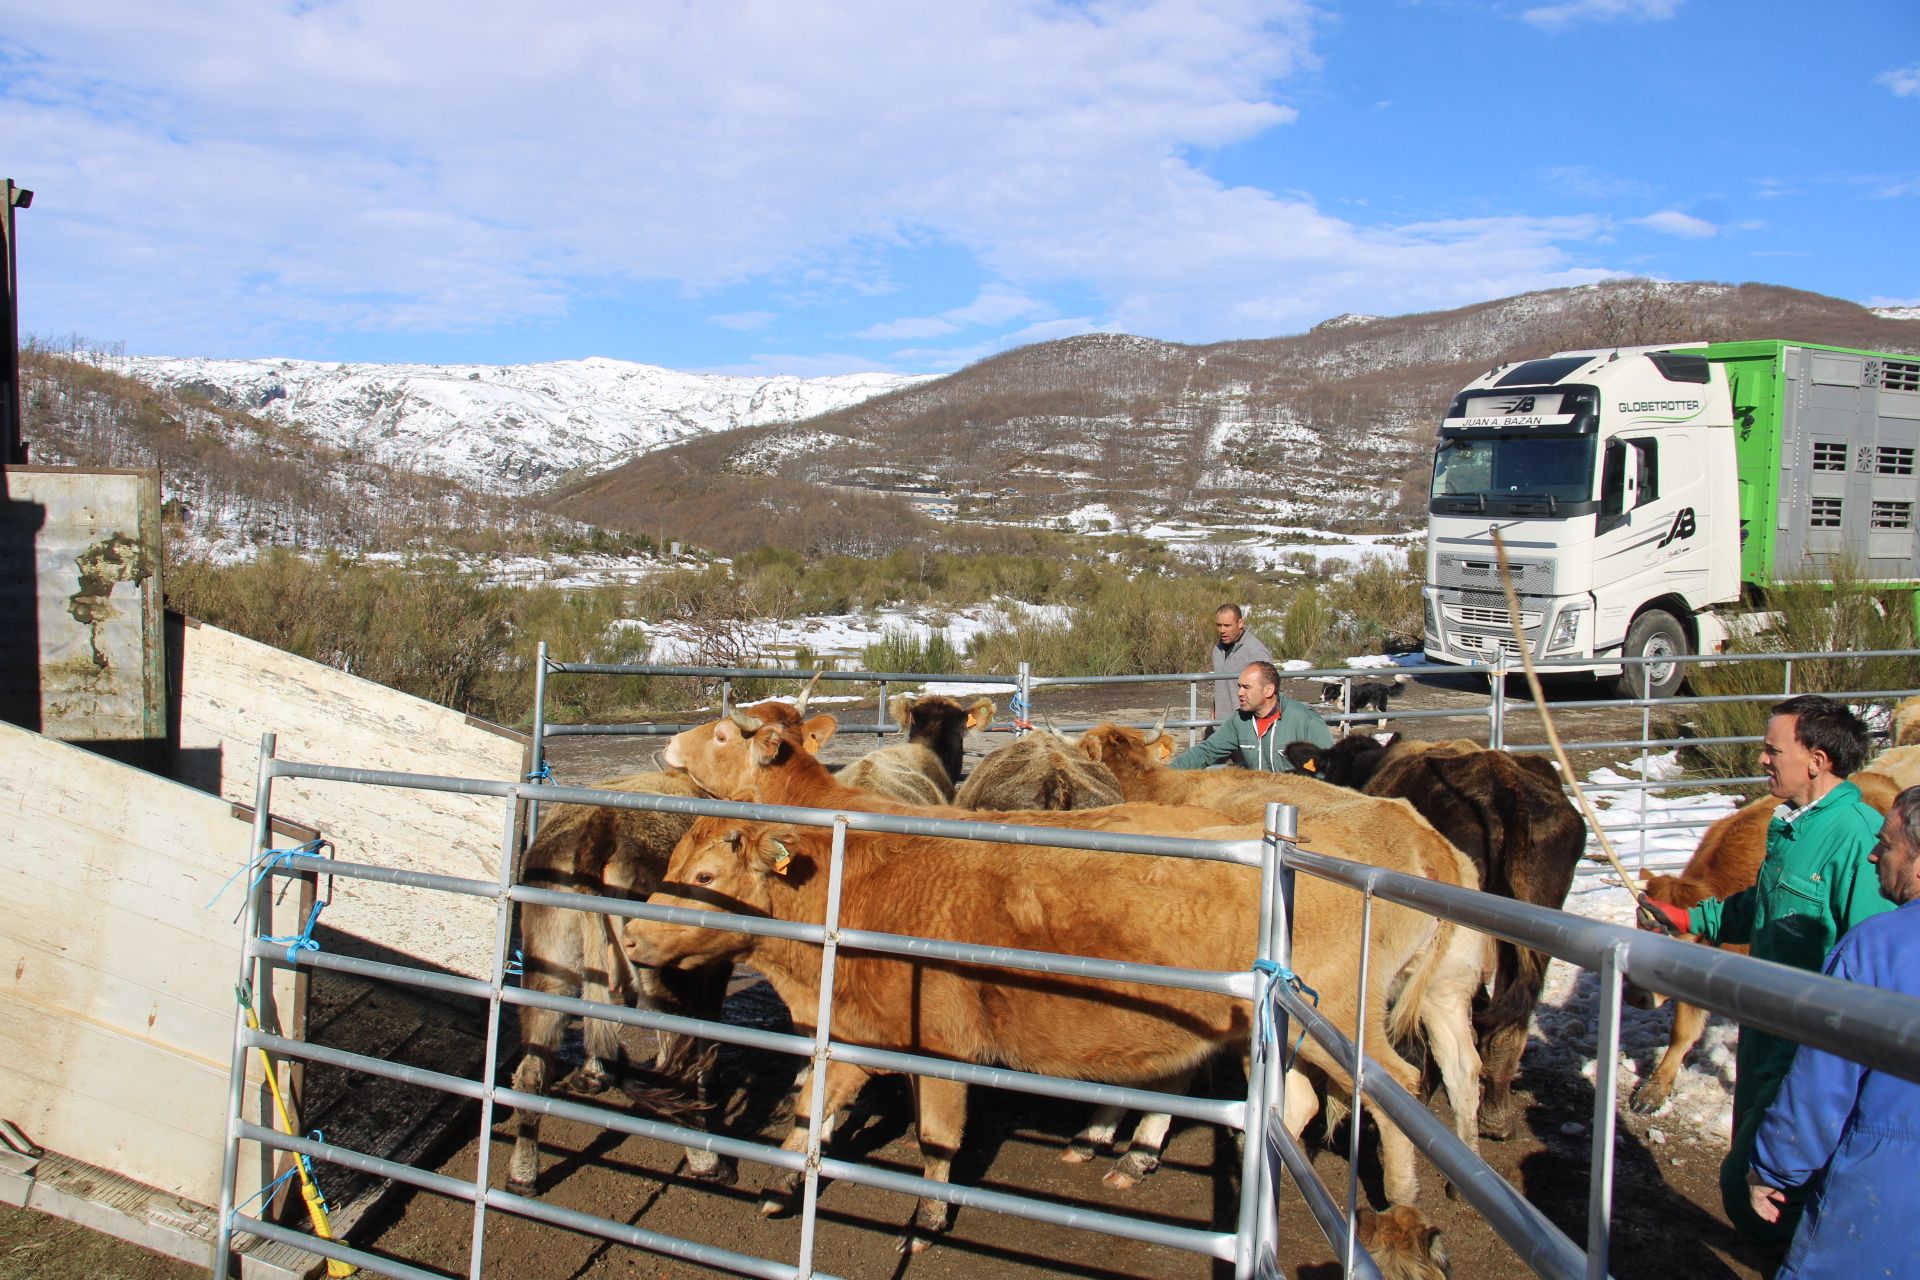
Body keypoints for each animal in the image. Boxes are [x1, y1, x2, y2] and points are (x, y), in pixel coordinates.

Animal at [622, 809, 1474, 1251]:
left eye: (705, 878)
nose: (629, 935)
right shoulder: (857, 1037)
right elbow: (809, 1112)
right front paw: (781, 1187)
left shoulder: (943, 1052)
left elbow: (937, 1137)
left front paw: (927, 1221)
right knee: (1291, 1103)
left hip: (1345, 1027)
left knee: (1398, 1088)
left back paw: (1402, 1198)